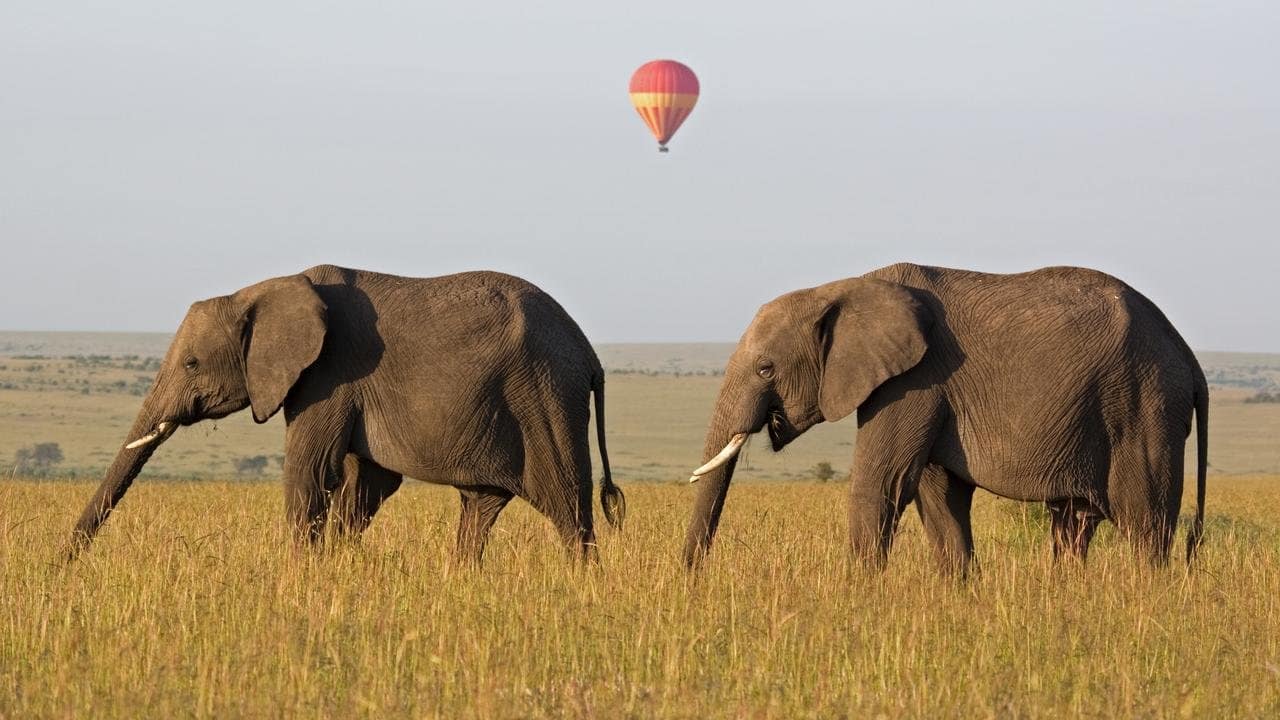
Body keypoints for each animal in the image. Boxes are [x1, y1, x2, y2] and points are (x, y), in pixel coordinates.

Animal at [67, 265, 625, 562]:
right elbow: (365, 484)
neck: (263, 289)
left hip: (545, 397)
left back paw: (581, 584)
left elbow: (311, 473)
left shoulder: (330, 375)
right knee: (481, 505)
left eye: (191, 363)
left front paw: (298, 577)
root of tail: (589, 353)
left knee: (566, 505)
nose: (64, 564)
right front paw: (335, 569)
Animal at [684, 263, 1207, 575]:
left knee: (1145, 524)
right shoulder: (932, 392)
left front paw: (858, 601)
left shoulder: (915, 380)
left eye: (765, 369)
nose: (691, 578)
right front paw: (959, 592)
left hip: (1143, 406)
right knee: (1073, 524)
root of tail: (1188, 354)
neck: (845, 287)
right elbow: (939, 497)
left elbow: (883, 482)